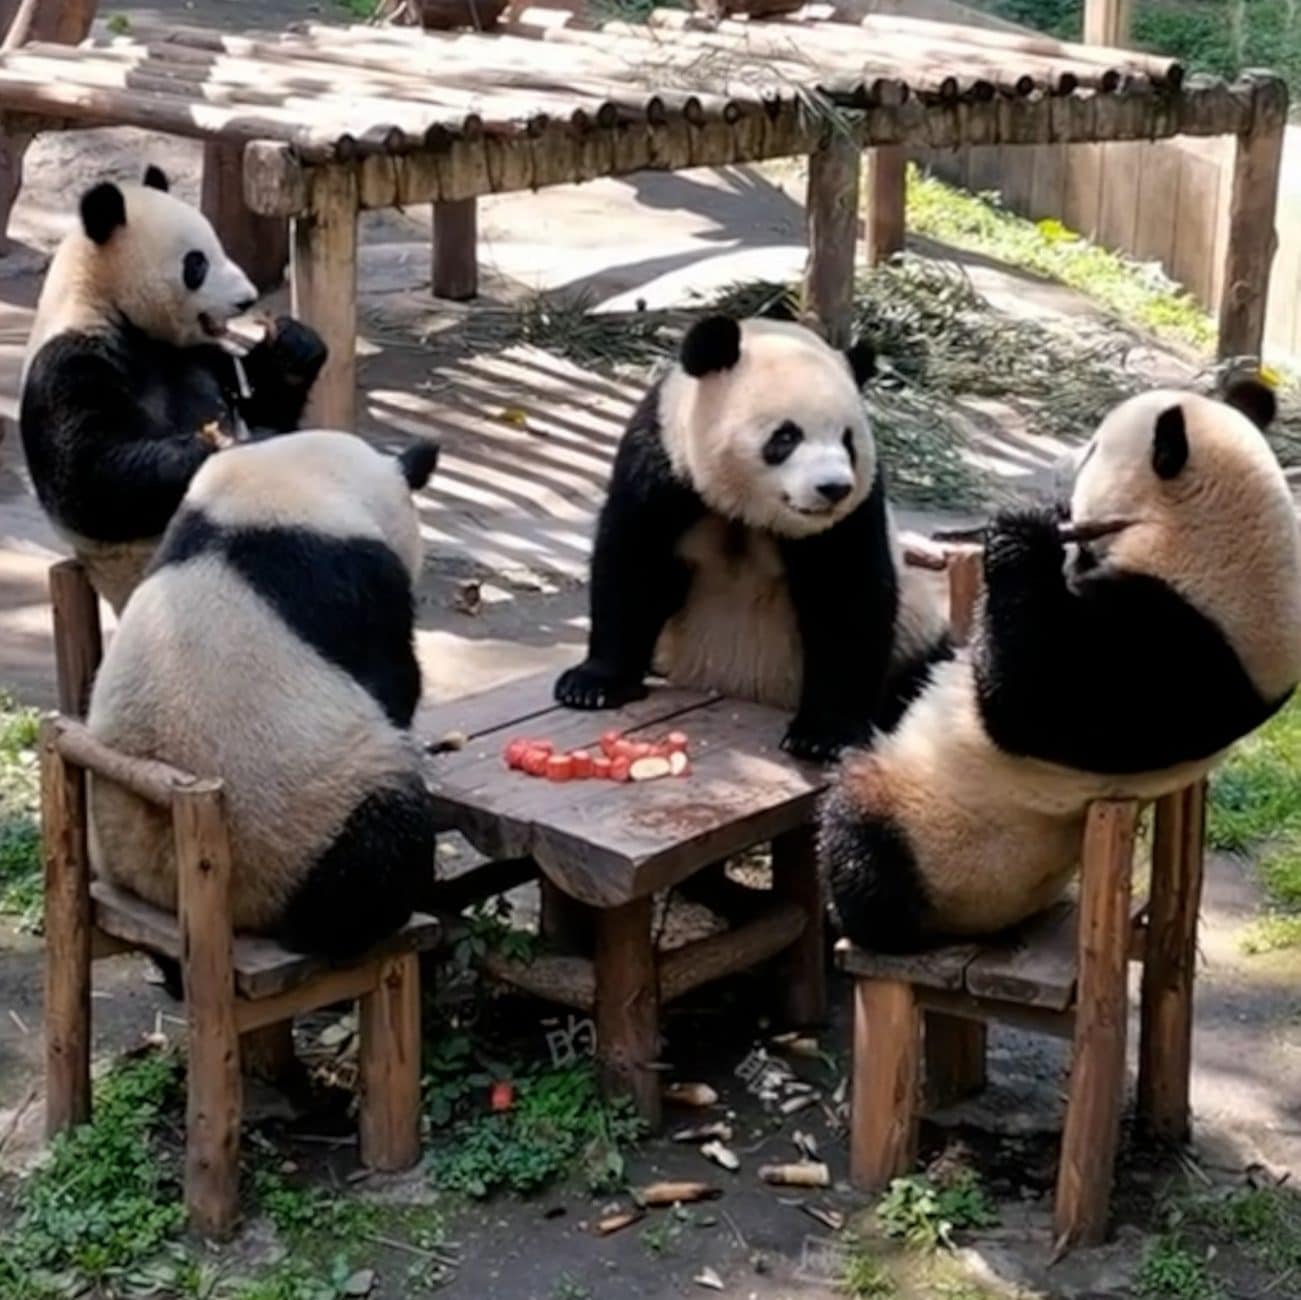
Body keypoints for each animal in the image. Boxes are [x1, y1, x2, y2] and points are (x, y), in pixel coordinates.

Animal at [20, 165, 328, 613]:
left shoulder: (198, 355)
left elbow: (265, 407)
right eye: (196, 263)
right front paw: (215, 448)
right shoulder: (68, 364)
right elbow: (88, 477)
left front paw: (294, 346)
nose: (247, 299)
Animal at [555, 313, 951, 761]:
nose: (833, 489)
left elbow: (847, 597)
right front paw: (592, 684)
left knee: (926, 671)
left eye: (848, 441)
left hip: (915, 629)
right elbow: (635, 564)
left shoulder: (857, 509)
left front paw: (823, 734)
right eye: (786, 436)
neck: (747, 512)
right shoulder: (663, 462)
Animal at [823, 378, 1301, 952]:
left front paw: (1025, 532)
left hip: (948, 847)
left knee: (864, 842)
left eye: (1093, 449)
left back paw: (857, 913)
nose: (1060, 468)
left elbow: (1031, 699)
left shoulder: (1179, 649)